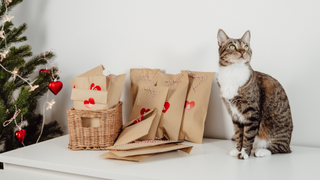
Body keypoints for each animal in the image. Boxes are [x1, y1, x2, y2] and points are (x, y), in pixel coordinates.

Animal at [218, 29, 292, 160]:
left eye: (246, 46)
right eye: (232, 46)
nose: (242, 51)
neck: (233, 72)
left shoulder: (251, 113)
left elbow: (247, 136)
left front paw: (244, 153)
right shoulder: (234, 114)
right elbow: (239, 134)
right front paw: (238, 150)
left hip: (276, 131)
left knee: (282, 148)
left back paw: (262, 150)